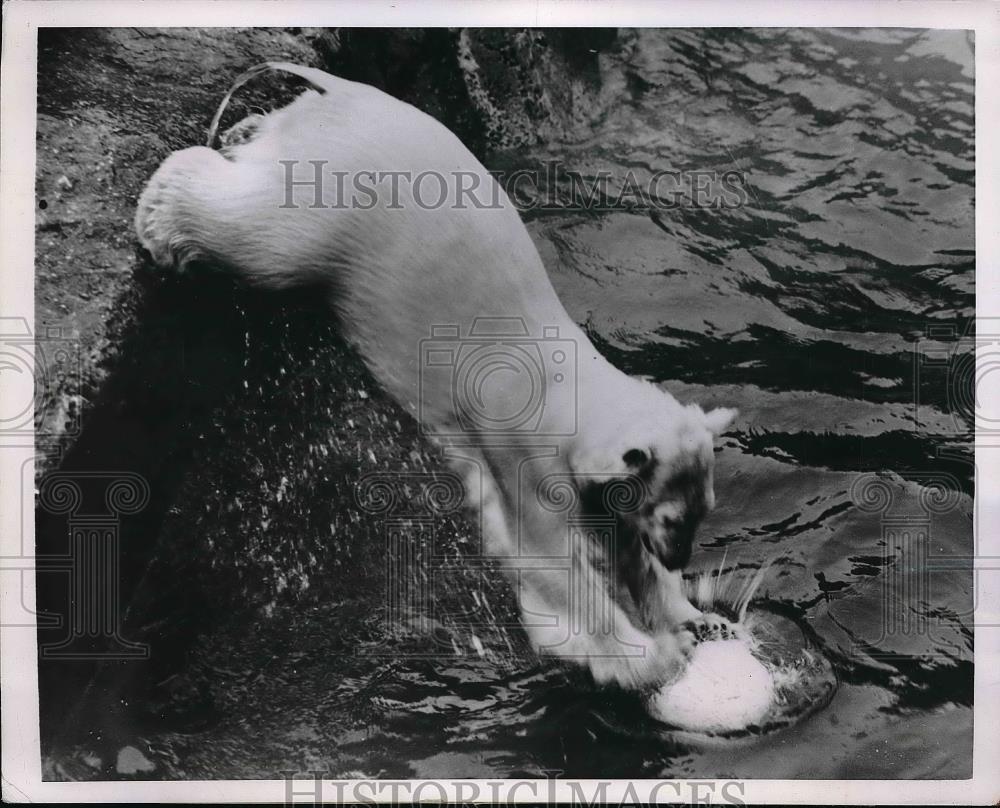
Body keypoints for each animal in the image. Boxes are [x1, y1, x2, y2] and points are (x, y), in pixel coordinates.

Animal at [135, 64, 736, 696]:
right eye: (675, 519)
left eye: (706, 509)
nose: (680, 558)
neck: (570, 384)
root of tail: (340, 90)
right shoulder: (527, 451)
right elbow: (552, 559)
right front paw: (648, 655)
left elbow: (619, 548)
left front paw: (696, 619)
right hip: (334, 205)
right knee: (263, 237)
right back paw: (165, 210)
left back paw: (243, 133)